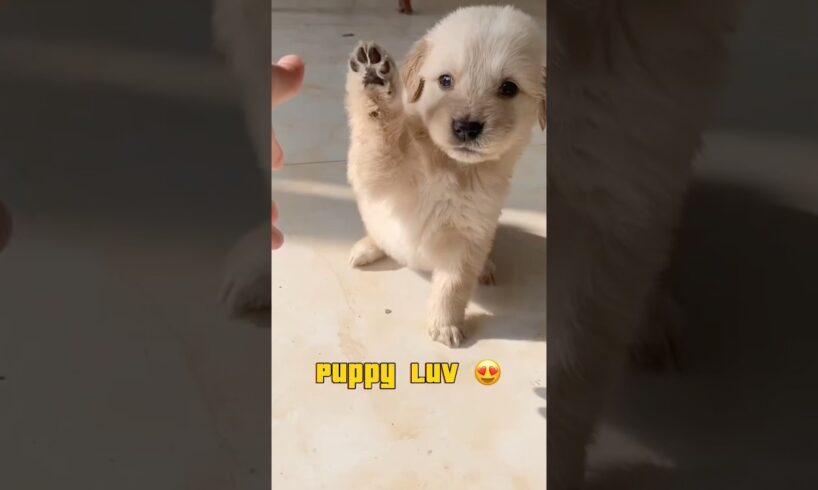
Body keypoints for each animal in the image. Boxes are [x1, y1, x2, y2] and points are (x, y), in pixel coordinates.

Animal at [342, 5, 540, 346]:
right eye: (445, 81)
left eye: (509, 88)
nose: (466, 128)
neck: (453, 167)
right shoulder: (379, 173)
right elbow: (377, 131)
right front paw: (374, 78)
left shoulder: (469, 235)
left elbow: (453, 284)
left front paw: (445, 324)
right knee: (378, 235)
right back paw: (365, 249)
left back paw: (486, 268)